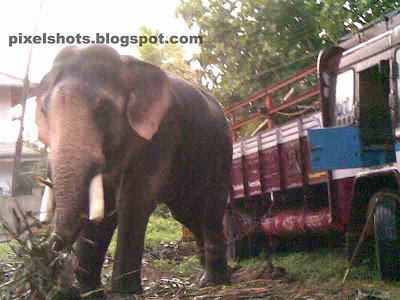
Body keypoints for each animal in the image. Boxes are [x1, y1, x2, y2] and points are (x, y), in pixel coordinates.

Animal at [36, 44, 234, 298]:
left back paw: (215, 281)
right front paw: (88, 292)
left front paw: (123, 294)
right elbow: (105, 205)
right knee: (186, 213)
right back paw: (203, 278)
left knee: (210, 207)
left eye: (105, 110)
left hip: (220, 149)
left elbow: (134, 200)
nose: (51, 254)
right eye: (44, 111)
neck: (127, 65)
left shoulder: (163, 130)